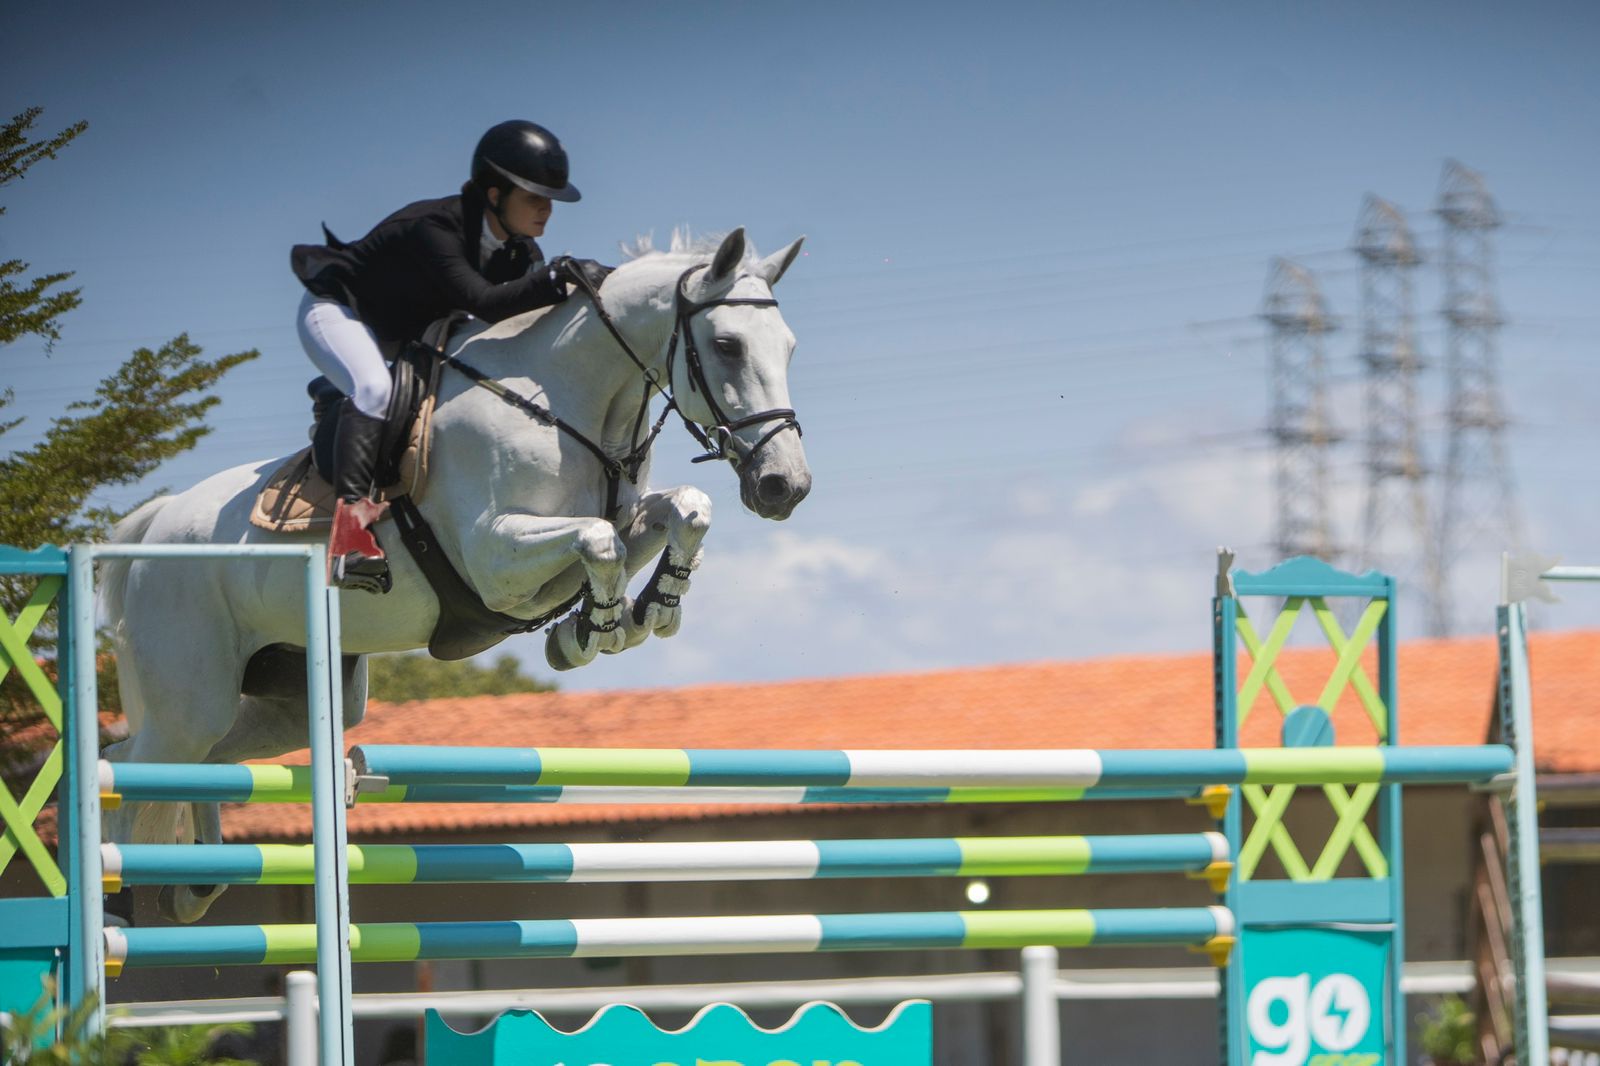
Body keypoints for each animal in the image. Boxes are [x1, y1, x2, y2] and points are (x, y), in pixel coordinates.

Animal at [96, 228, 812, 915]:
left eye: (789, 349)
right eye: (726, 345)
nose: (786, 487)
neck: (568, 402)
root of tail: (153, 527)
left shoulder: (610, 523)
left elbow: (683, 510)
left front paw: (640, 612)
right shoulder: (496, 559)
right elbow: (599, 540)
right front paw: (598, 630)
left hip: (287, 700)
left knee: (197, 761)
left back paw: (196, 885)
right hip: (190, 695)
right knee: (133, 768)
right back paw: (126, 893)